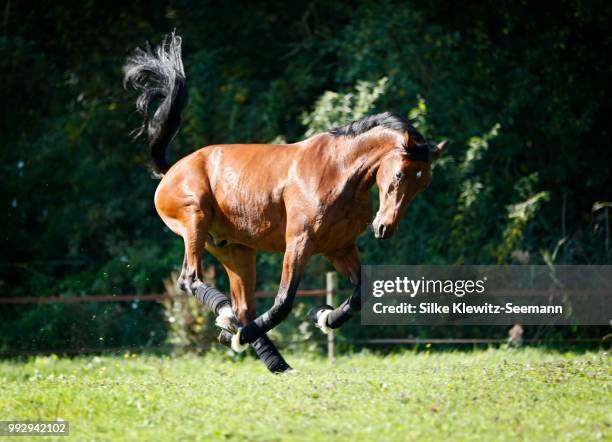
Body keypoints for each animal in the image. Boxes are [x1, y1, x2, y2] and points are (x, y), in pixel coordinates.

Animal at [124, 33, 448, 372]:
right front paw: (239, 335)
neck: (340, 171)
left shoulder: (339, 247)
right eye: (399, 174)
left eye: (424, 184)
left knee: (244, 307)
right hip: (195, 221)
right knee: (191, 279)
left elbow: (361, 293)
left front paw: (323, 316)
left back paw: (274, 361)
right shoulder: (299, 242)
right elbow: (284, 302)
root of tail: (170, 170)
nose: (384, 228)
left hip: (235, 251)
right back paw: (228, 320)